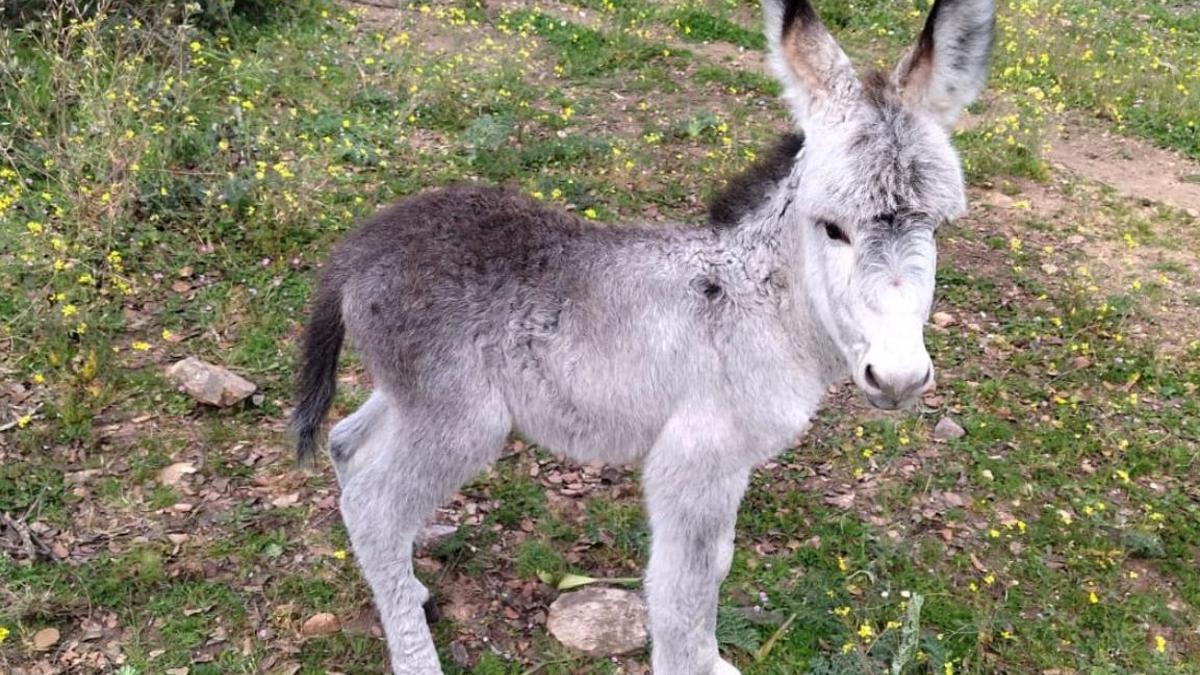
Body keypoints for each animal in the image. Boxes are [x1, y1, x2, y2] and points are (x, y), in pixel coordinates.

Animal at [288, 1, 993, 667]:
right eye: (832, 228)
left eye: (937, 227)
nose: (898, 378)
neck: (760, 305)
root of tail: (359, 250)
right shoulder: (696, 460)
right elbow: (686, 590)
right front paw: (699, 663)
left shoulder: (728, 465)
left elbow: (713, 567)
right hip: (462, 421)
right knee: (375, 507)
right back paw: (415, 652)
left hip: (412, 396)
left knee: (349, 448)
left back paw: (408, 588)